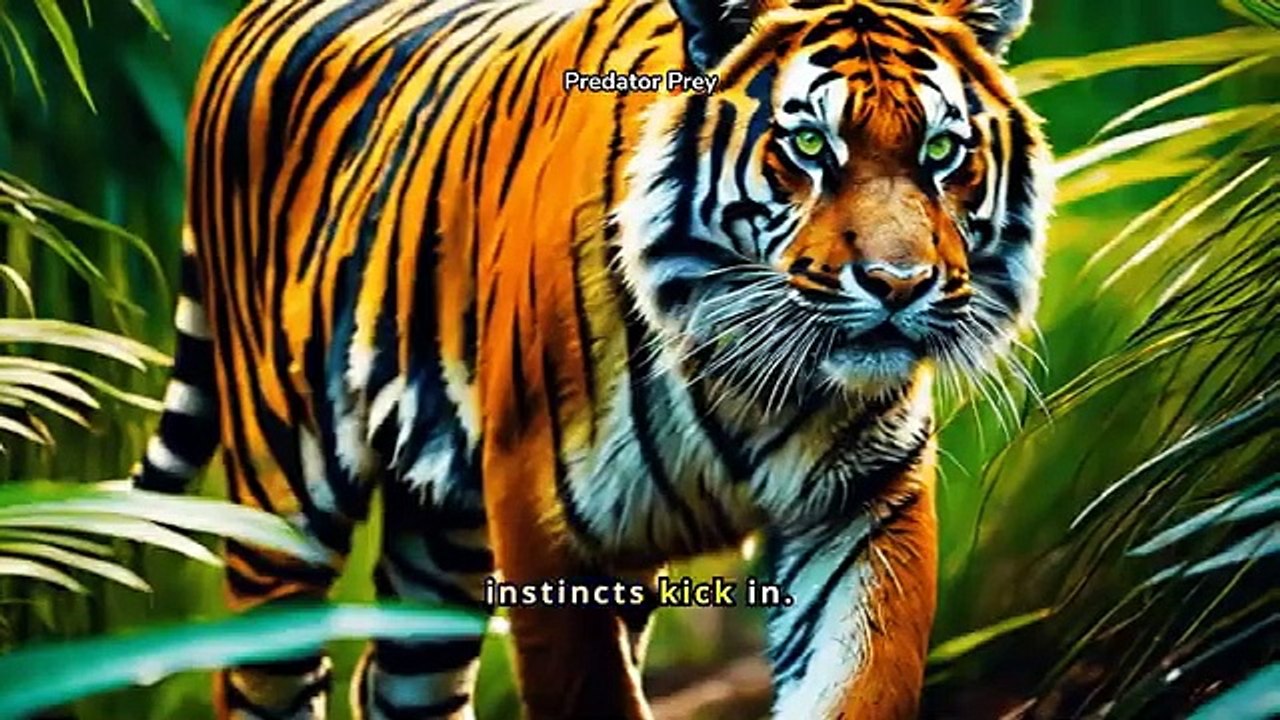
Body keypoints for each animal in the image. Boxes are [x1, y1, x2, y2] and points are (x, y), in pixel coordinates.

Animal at [130, 0, 1051, 718]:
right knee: (260, 677)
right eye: (811, 147)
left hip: (445, 530)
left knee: (401, 684)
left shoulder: (864, 509)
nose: (899, 285)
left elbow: (861, 682)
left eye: (941, 152)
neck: (753, 378)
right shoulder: (545, 522)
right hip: (282, 497)